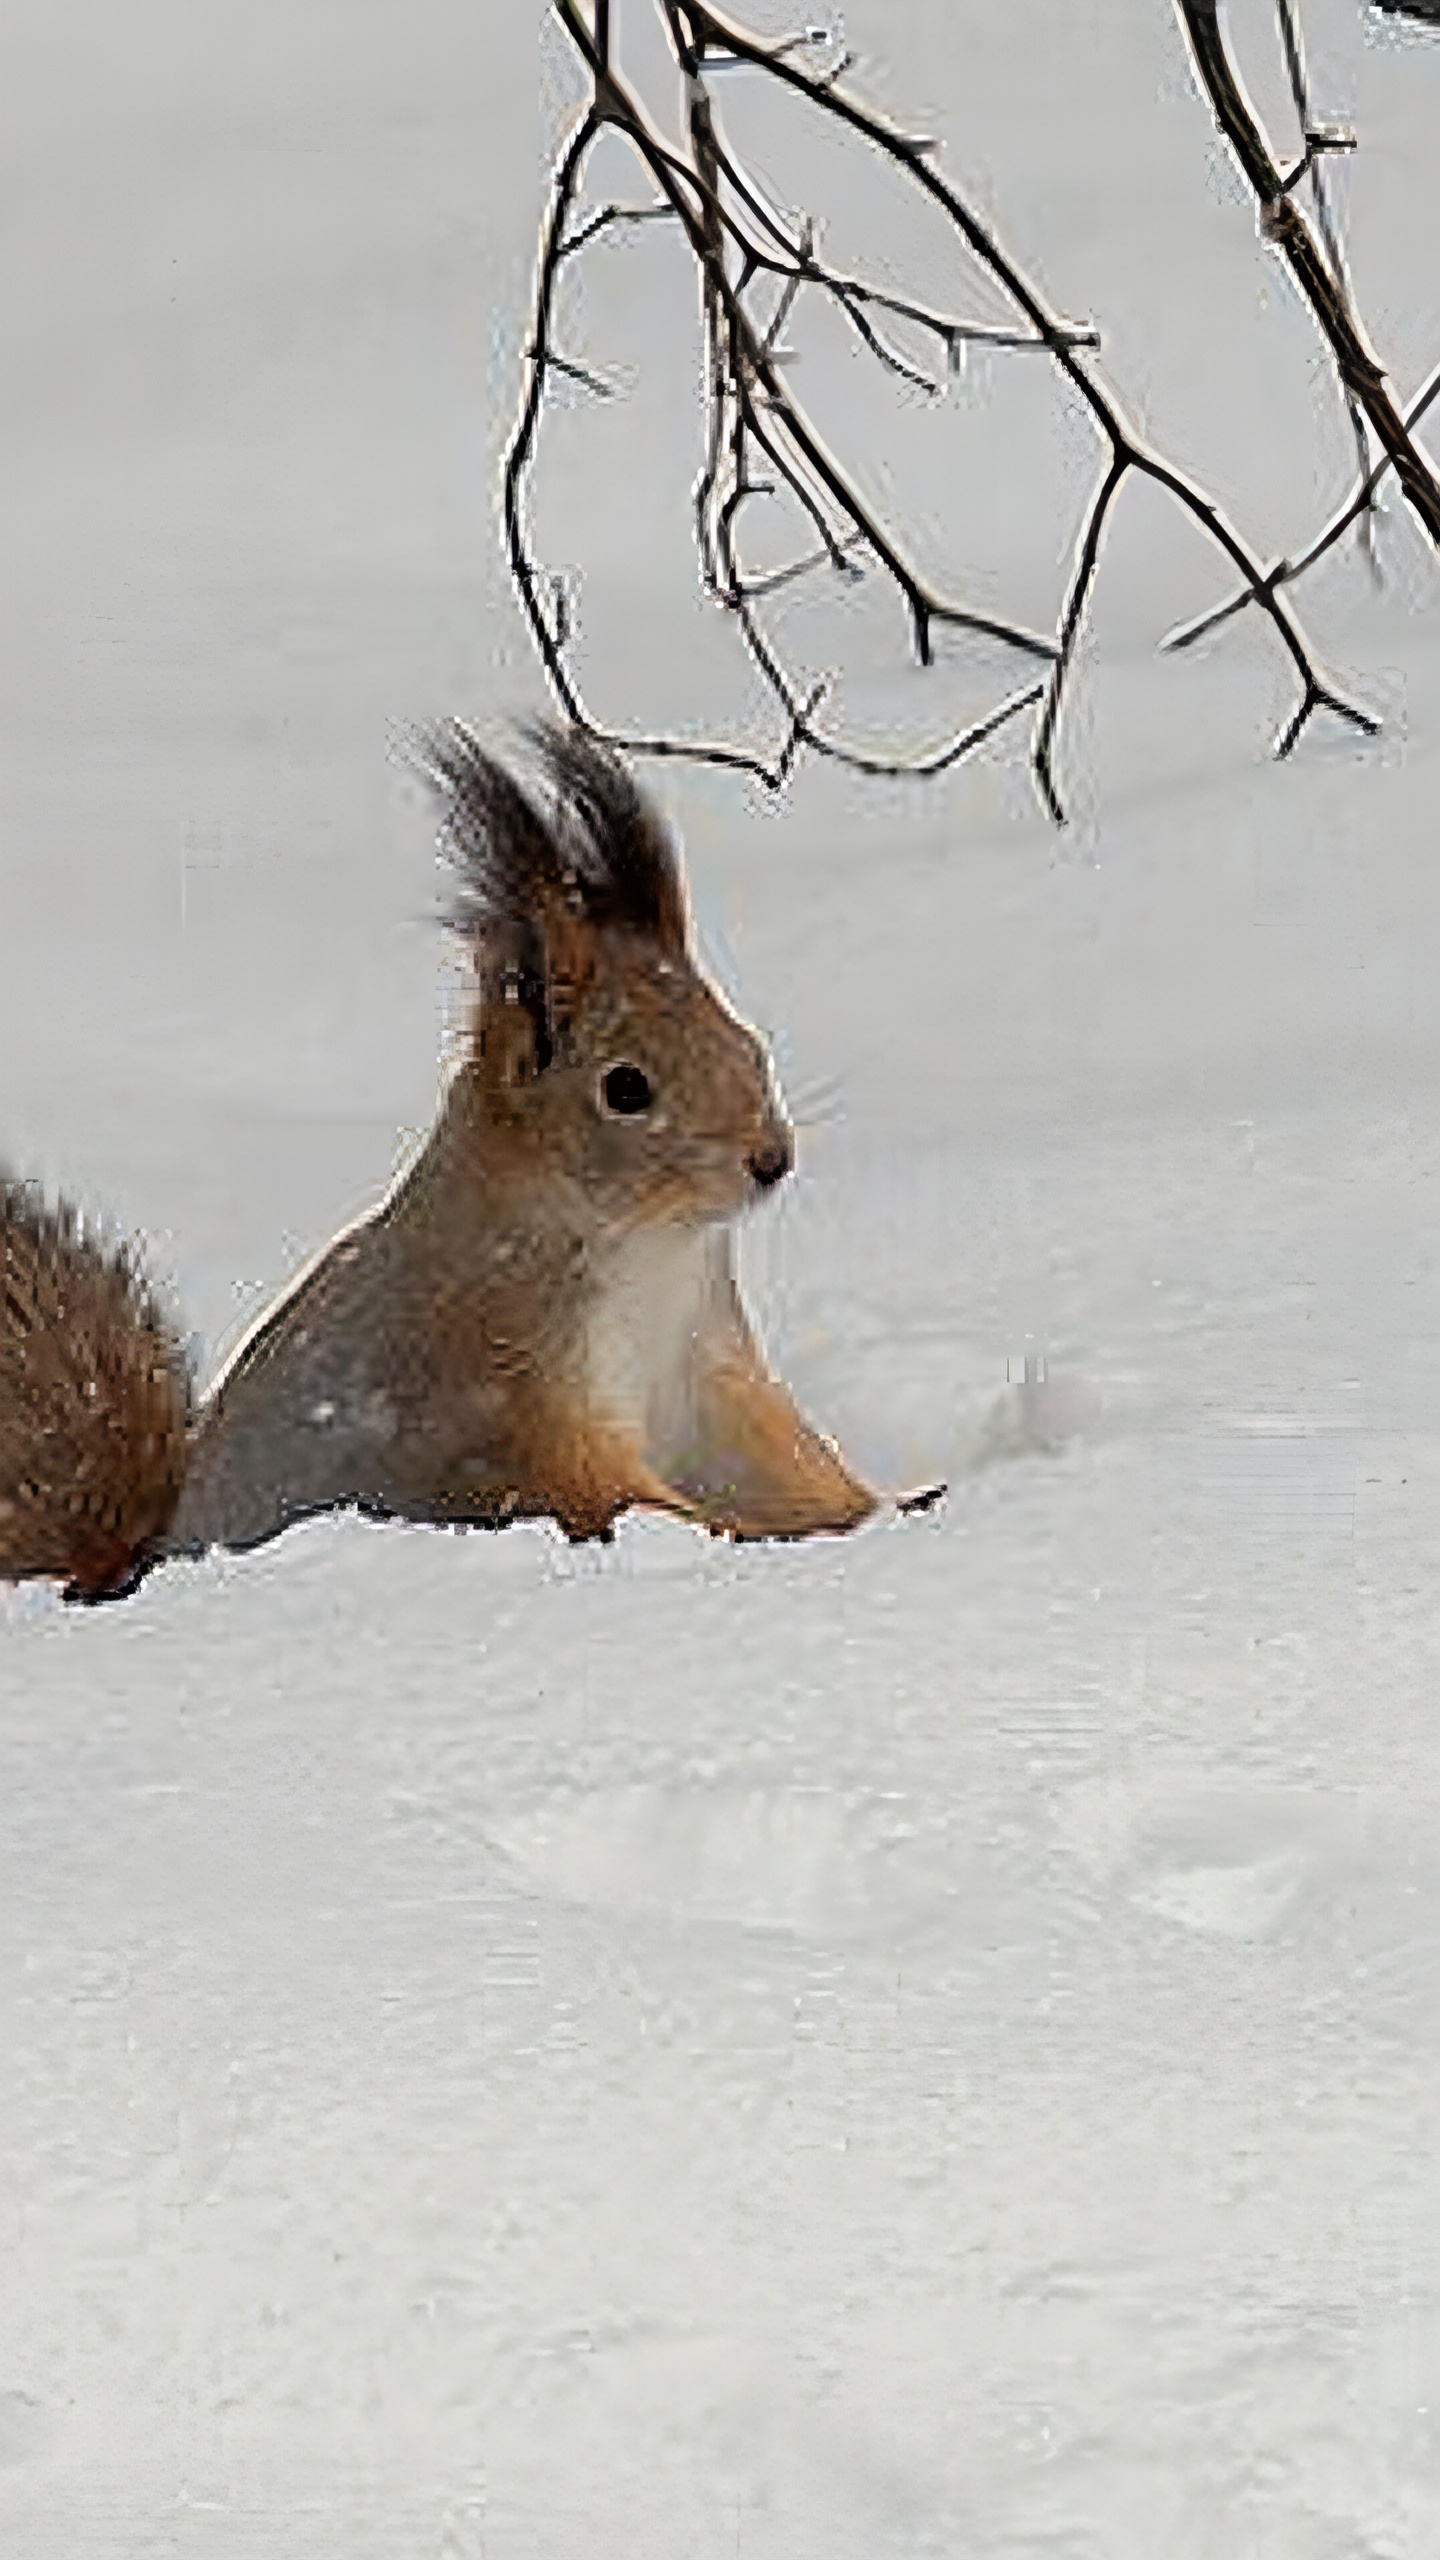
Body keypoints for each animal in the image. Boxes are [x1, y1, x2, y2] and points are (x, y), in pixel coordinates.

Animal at [0, 721, 907, 1597]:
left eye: (749, 1042)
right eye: (625, 1088)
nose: (771, 1159)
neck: (652, 1254)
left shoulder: (712, 1379)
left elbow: (790, 1465)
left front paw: (888, 1510)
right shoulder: (509, 1402)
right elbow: (608, 1496)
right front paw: (751, 1543)